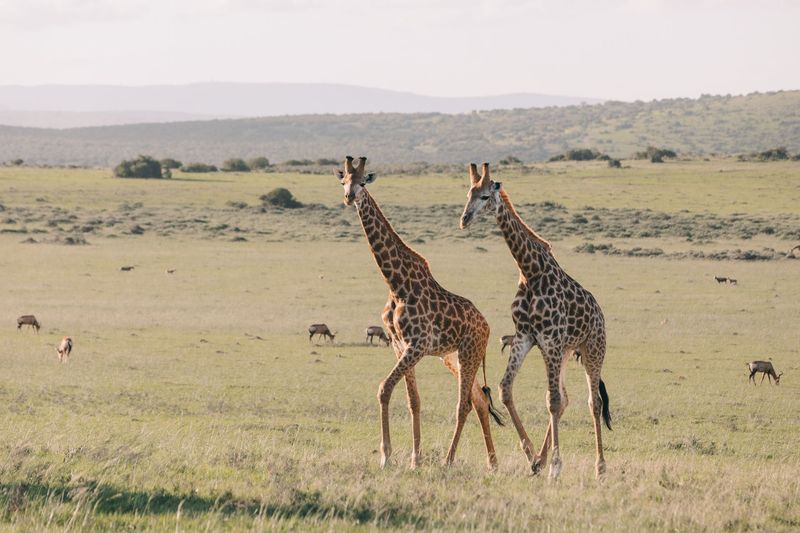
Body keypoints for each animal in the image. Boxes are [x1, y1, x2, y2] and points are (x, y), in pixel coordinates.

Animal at [335, 156, 503, 470]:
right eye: (343, 181)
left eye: (363, 182)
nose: (349, 197)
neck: (395, 284)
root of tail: (487, 326)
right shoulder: (399, 345)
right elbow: (413, 400)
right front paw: (414, 459)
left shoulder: (418, 344)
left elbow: (384, 389)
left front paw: (387, 457)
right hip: (454, 357)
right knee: (479, 400)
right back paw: (493, 463)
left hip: (469, 353)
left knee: (465, 403)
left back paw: (450, 461)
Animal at [459, 162, 612, 480]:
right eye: (468, 194)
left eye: (484, 196)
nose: (464, 220)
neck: (530, 271)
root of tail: (600, 314)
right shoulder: (525, 337)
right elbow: (506, 389)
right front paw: (532, 456)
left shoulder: (549, 340)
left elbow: (552, 401)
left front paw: (555, 466)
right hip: (565, 352)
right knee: (565, 398)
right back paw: (542, 458)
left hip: (593, 350)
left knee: (593, 402)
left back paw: (600, 467)